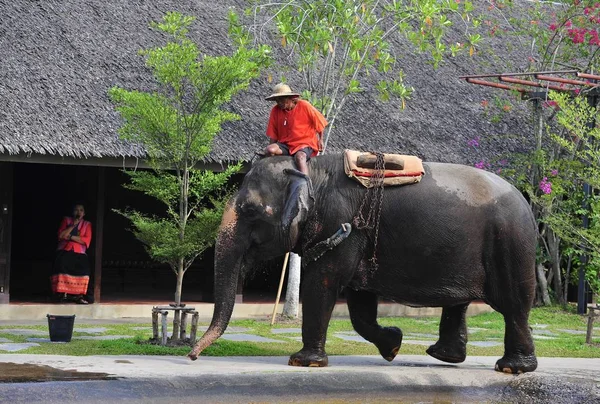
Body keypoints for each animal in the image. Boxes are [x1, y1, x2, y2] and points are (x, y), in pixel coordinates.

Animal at [189, 153, 540, 374]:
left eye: (250, 211)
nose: (192, 355)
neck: (311, 170)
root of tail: (526, 200)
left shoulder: (342, 226)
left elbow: (324, 283)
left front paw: (303, 362)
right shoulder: (356, 238)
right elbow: (359, 303)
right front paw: (393, 345)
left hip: (510, 243)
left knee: (513, 305)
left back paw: (512, 368)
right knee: (460, 303)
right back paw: (443, 355)